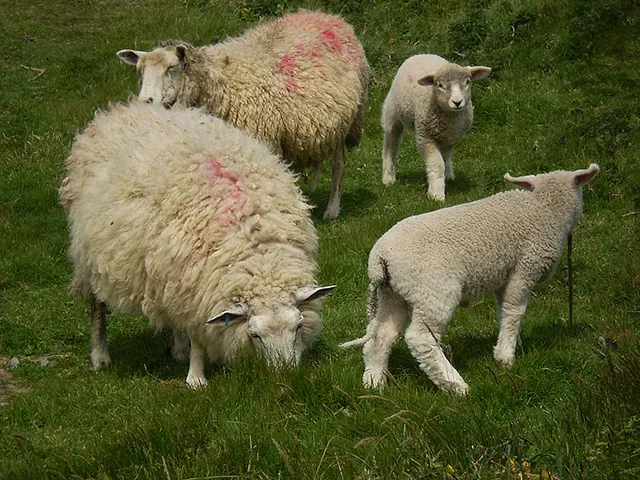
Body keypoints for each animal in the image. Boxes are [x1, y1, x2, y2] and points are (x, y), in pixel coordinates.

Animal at [59, 101, 336, 388]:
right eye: (255, 335)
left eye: (298, 327)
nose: (286, 375)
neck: (258, 253)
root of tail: (120, 109)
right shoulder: (196, 287)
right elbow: (198, 336)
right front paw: (196, 378)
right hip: (90, 256)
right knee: (97, 308)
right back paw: (100, 356)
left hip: (165, 271)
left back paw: (177, 347)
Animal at [116, 9, 370, 220]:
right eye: (140, 71)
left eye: (171, 69)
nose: (145, 101)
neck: (217, 85)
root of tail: (330, 17)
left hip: (347, 122)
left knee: (339, 165)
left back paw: (332, 209)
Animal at [340, 164, 599, 395]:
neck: (544, 208)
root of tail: (379, 258)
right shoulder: (524, 267)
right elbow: (515, 310)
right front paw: (505, 356)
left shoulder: (502, 275)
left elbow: (503, 310)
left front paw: (510, 344)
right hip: (434, 291)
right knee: (420, 339)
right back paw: (455, 385)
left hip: (393, 294)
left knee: (381, 336)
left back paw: (374, 382)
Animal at [381, 54, 491, 201]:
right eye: (440, 85)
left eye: (467, 81)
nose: (457, 102)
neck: (449, 117)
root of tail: (422, 54)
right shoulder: (424, 137)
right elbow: (437, 164)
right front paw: (436, 194)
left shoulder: (451, 138)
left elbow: (444, 158)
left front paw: (444, 178)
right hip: (392, 113)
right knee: (390, 144)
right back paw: (388, 177)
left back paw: (449, 174)